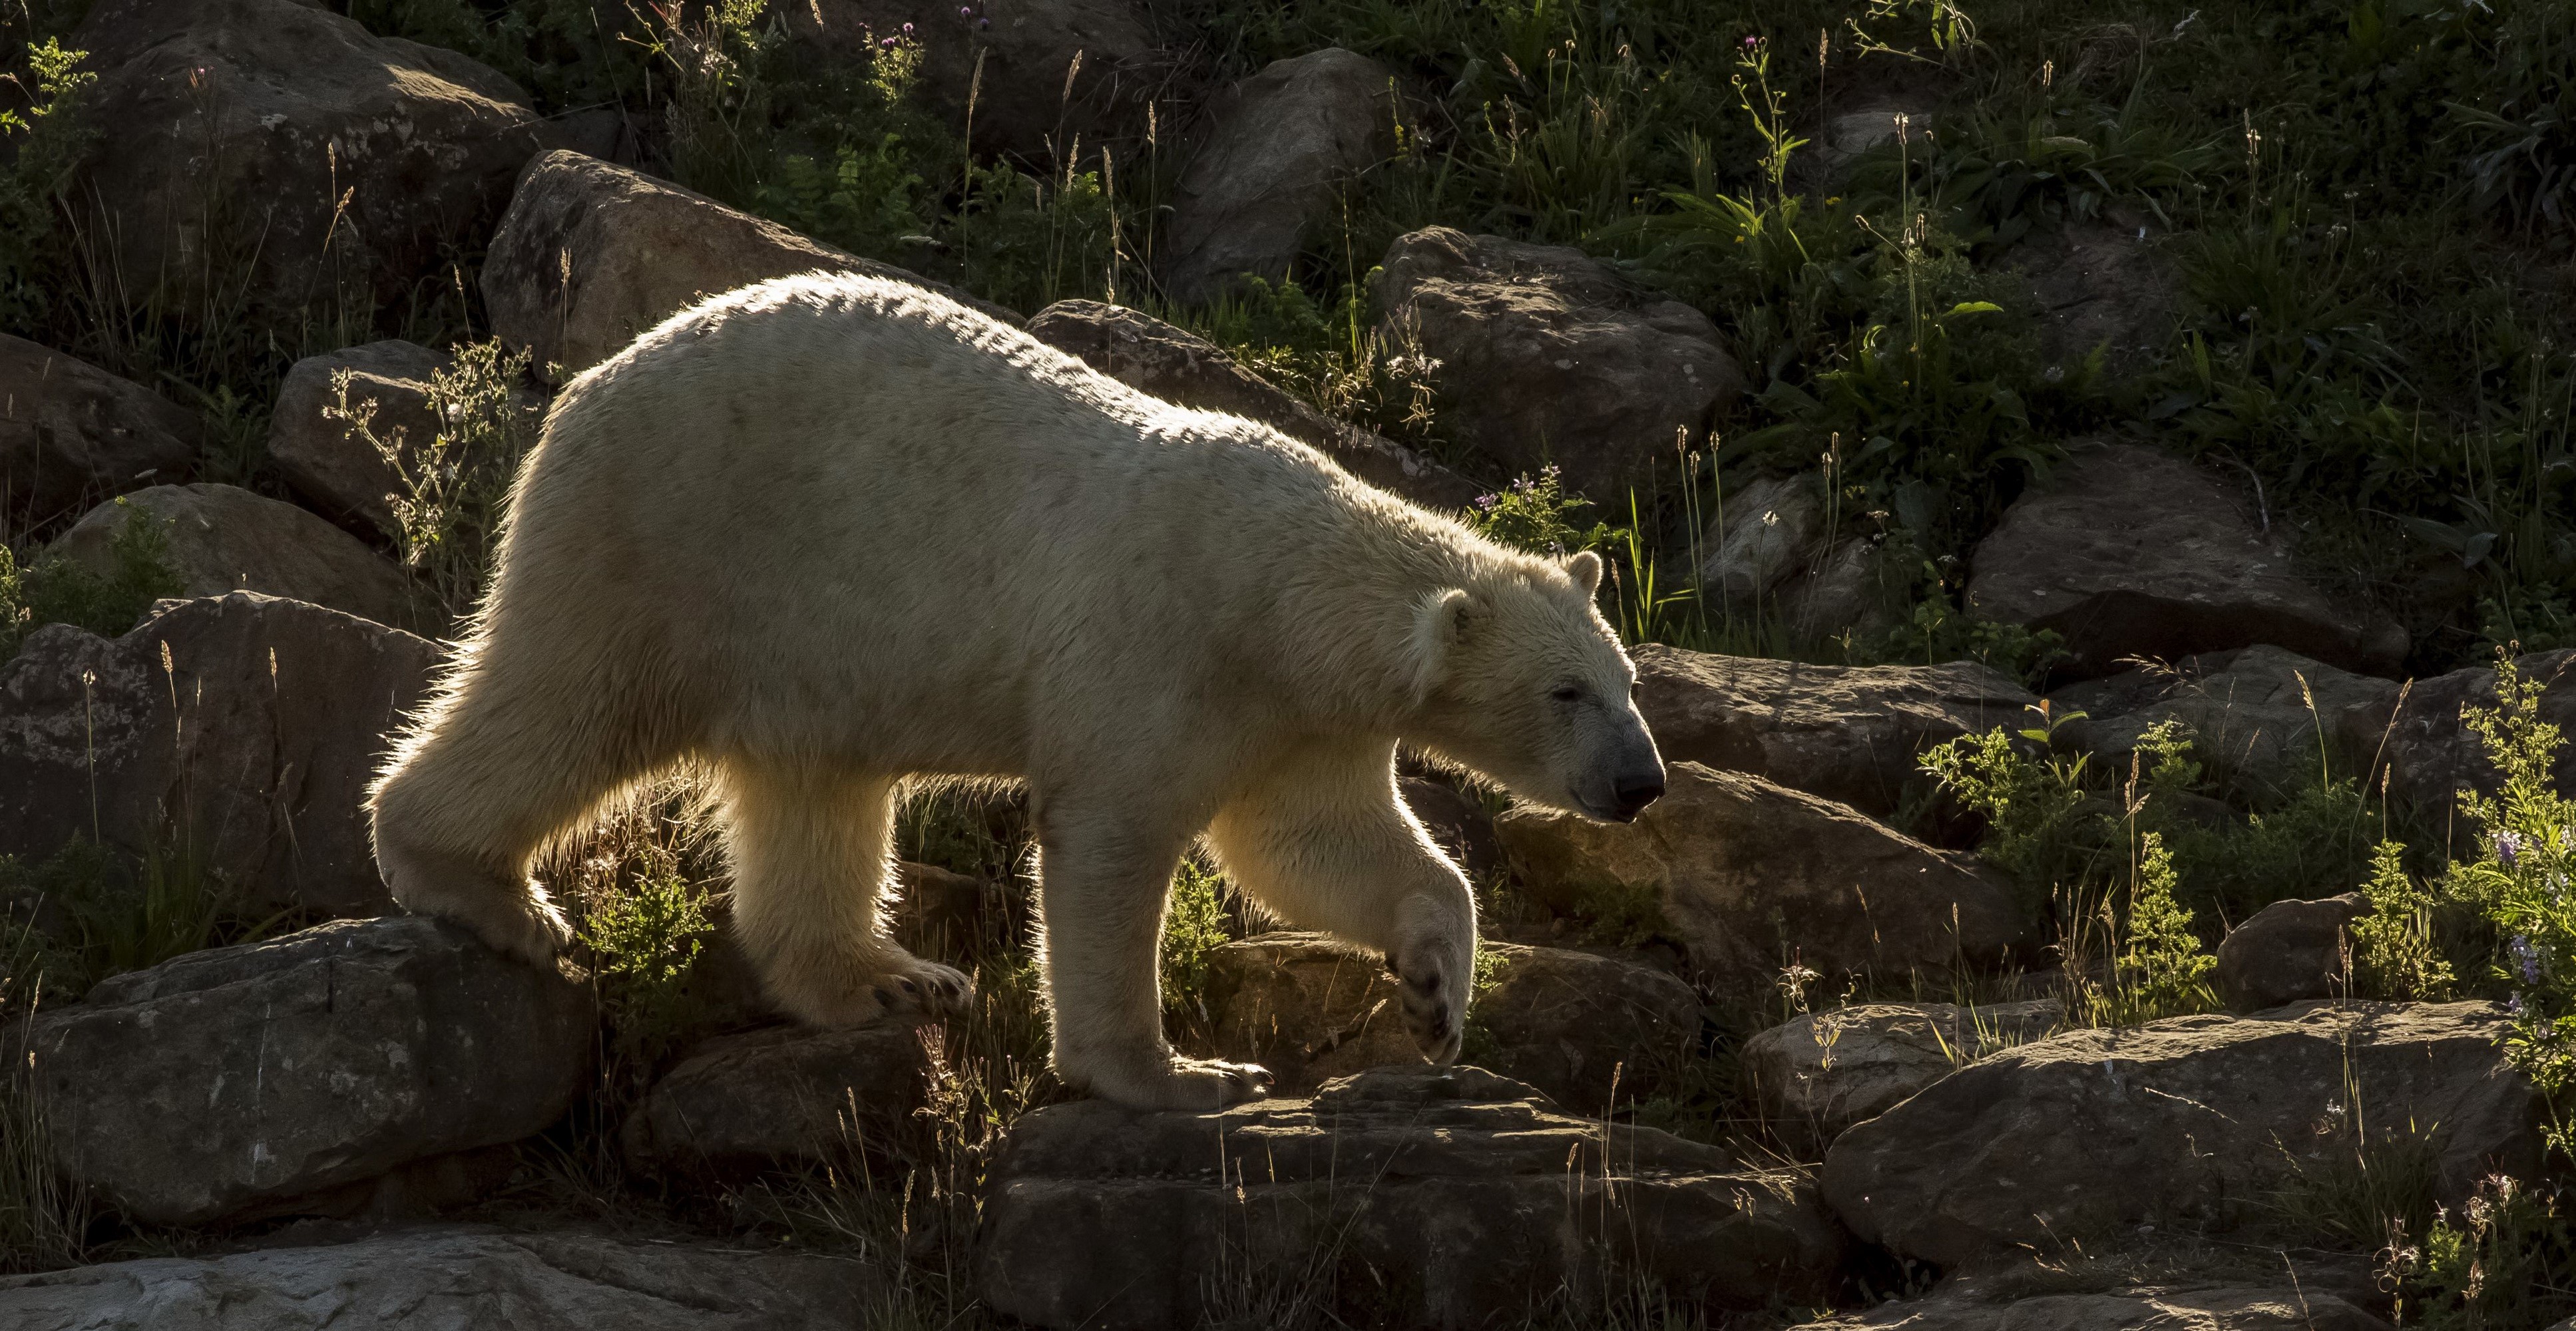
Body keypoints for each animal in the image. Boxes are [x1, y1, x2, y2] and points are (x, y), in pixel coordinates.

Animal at [367, 271, 1667, 1110]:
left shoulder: (1300, 720)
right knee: (571, 700)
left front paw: (1437, 991)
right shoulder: (1167, 639)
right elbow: (1112, 835)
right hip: (672, 535)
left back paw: (892, 978)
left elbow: (1310, 843)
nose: (1643, 784)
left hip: (802, 646)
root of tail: (586, 382)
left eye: (1626, 680)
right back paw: (485, 892)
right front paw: (1186, 1074)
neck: (1284, 585)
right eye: (1566, 693)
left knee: (813, 795)